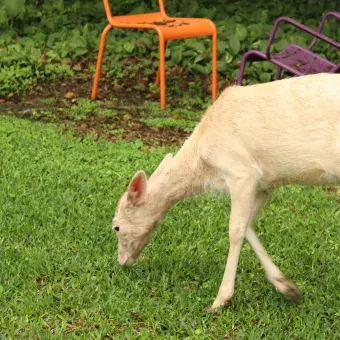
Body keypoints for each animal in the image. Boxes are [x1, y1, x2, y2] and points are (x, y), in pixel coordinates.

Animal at [112, 73, 340, 310]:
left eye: (116, 227)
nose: (123, 262)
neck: (204, 168)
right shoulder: (265, 184)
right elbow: (248, 224)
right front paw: (287, 288)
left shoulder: (242, 172)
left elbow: (235, 229)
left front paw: (220, 300)